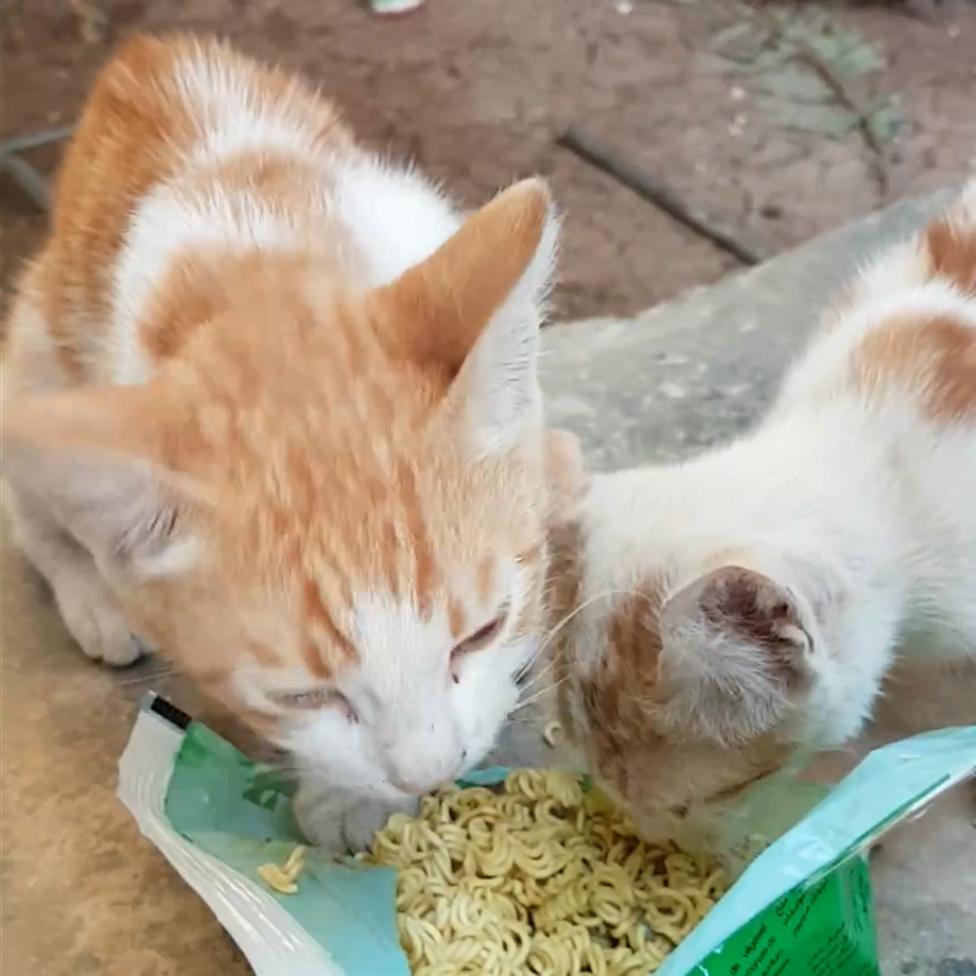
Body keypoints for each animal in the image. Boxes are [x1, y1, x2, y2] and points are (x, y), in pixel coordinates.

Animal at [0, 34, 560, 852]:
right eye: (306, 696)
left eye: (481, 632)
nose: (430, 774)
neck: (264, 257)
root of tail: (148, 48)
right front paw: (346, 797)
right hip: (38, 357)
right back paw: (93, 593)